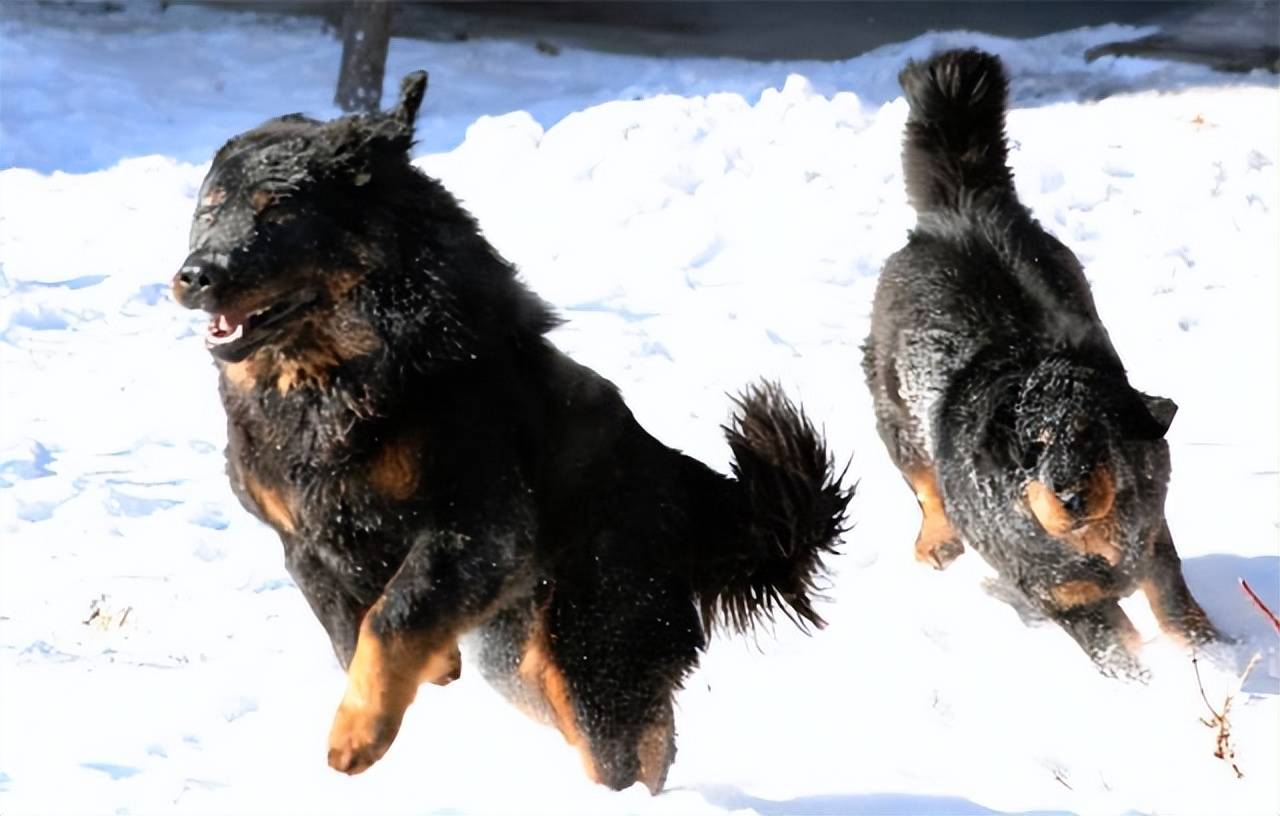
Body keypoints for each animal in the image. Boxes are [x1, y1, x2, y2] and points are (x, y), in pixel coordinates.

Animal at [172, 71, 849, 792]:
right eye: (210, 208)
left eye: (278, 211)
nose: (195, 275)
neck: (336, 372)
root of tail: (687, 494)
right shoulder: (305, 544)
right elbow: (350, 629)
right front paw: (422, 678)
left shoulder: (479, 525)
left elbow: (392, 616)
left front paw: (357, 737)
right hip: (521, 657)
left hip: (590, 647)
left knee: (626, 740)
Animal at [865, 49, 1213, 675]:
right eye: (1032, 446)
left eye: (1094, 433)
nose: (1069, 494)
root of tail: (960, 209)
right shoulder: (1069, 600)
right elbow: (1121, 654)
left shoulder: (1153, 541)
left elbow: (1178, 610)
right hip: (894, 408)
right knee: (923, 481)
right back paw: (936, 540)